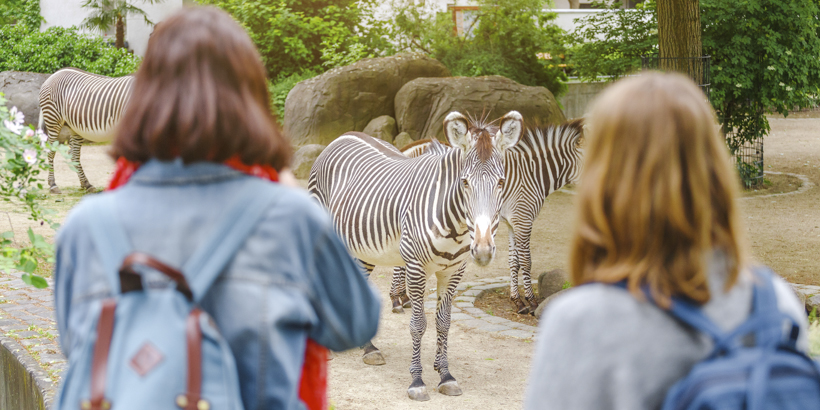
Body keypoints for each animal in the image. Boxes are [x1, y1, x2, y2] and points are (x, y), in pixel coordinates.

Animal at [310, 110, 524, 402]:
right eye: (465, 182)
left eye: (501, 182)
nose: (481, 250)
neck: (455, 225)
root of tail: (342, 136)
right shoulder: (414, 267)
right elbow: (418, 324)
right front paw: (417, 380)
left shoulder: (453, 271)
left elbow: (443, 323)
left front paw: (445, 375)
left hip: (362, 249)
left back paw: (368, 348)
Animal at [390, 118, 584, 314]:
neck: (532, 173)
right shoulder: (523, 219)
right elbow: (526, 260)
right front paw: (531, 302)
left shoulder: (513, 222)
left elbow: (514, 261)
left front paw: (517, 301)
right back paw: (398, 299)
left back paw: (401, 297)